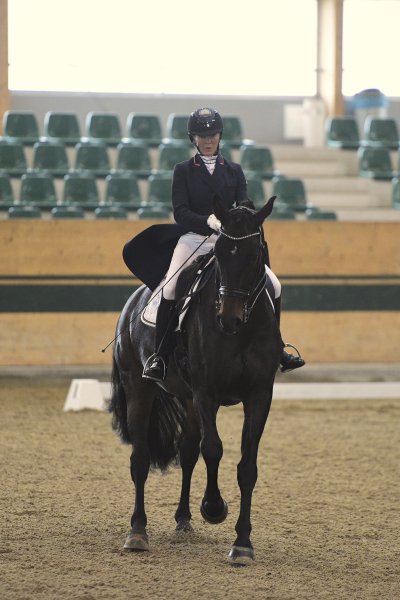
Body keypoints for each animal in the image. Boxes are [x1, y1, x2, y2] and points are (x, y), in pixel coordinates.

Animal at [110, 196, 282, 564]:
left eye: (255, 254)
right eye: (219, 253)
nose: (228, 319)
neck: (242, 331)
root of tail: (133, 301)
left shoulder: (259, 395)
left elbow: (247, 466)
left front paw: (242, 543)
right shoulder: (207, 392)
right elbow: (213, 449)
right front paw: (214, 508)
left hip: (187, 399)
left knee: (187, 453)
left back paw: (183, 520)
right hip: (140, 388)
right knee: (140, 459)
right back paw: (137, 532)